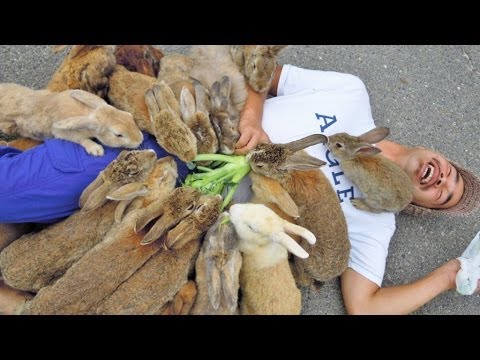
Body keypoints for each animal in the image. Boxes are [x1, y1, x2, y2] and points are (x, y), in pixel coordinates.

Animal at [0, 85, 142, 157]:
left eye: (130, 116)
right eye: (118, 134)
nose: (140, 140)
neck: (87, 113)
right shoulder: (63, 133)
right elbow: (81, 140)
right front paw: (96, 150)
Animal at [246, 134, 350, 286]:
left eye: (260, 165)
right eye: (261, 145)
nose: (248, 158)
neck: (291, 171)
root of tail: (328, 275)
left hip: (302, 259)